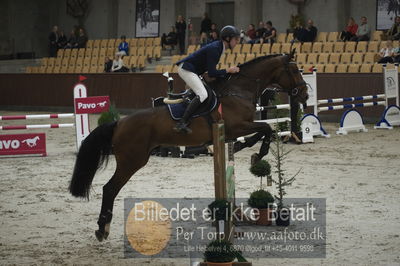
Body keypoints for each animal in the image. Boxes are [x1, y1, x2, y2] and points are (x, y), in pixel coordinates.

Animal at [69, 50, 308, 241]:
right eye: (295, 70)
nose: (305, 94)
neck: (238, 90)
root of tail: (119, 122)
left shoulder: (236, 130)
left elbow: (264, 130)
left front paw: (248, 150)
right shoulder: (236, 127)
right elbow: (265, 129)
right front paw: (257, 154)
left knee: (110, 188)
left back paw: (103, 228)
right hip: (132, 161)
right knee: (110, 188)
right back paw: (102, 229)